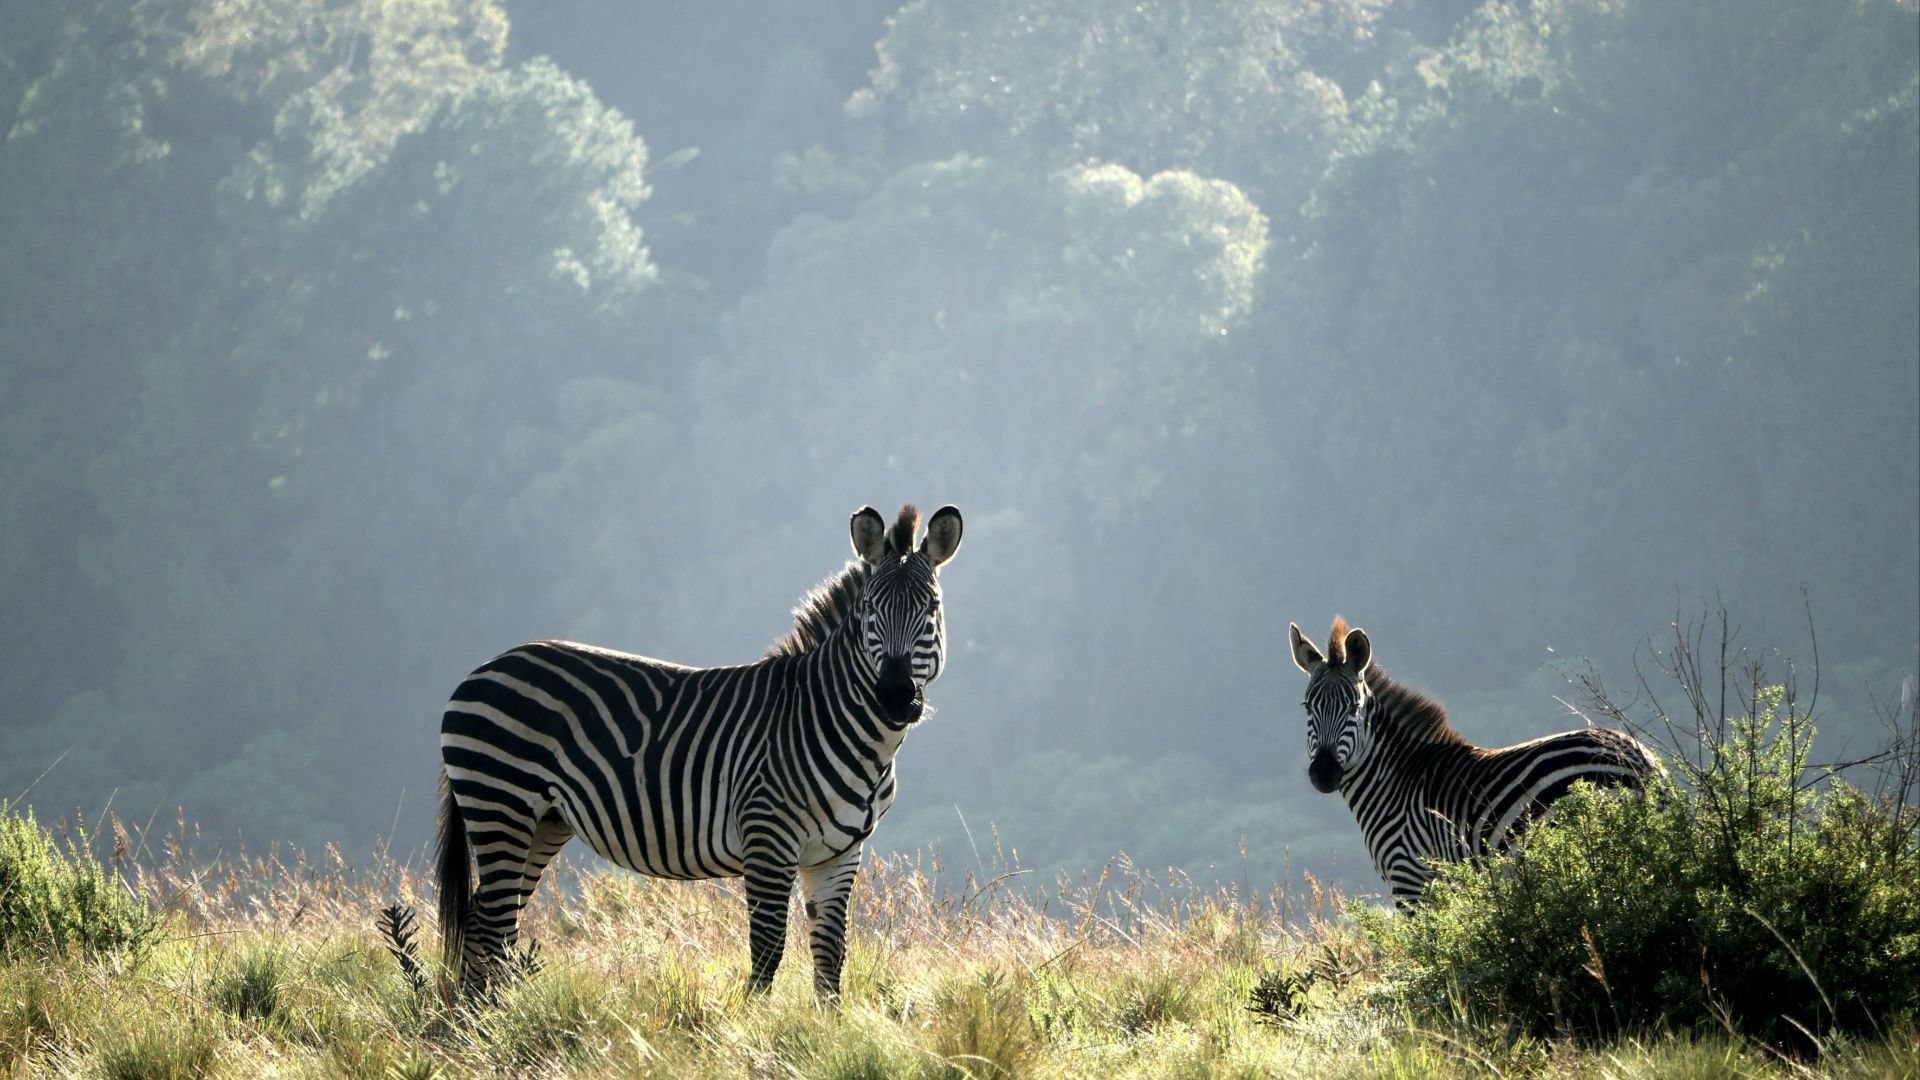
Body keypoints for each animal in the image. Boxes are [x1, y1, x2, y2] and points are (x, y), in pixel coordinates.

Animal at [436, 503, 962, 999]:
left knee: (485, 922)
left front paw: (827, 1028)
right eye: (870, 610)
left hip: (542, 822)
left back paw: (478, 1020)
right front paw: (750, 1027)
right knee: (491, 924)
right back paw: (488, 1022)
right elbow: (767, 950)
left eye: (932, 607)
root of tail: (483, 668)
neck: (844, 729)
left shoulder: (838, 853)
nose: (895, 696)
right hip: (500, 806)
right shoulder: (767, 838)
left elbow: (831, 957)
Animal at [1288, 616, 1659, 904]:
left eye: (1355, 707)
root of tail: (1638, 757)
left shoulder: (1410, 878)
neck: (1396, 781)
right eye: (1307, 707)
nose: (1323, 774)